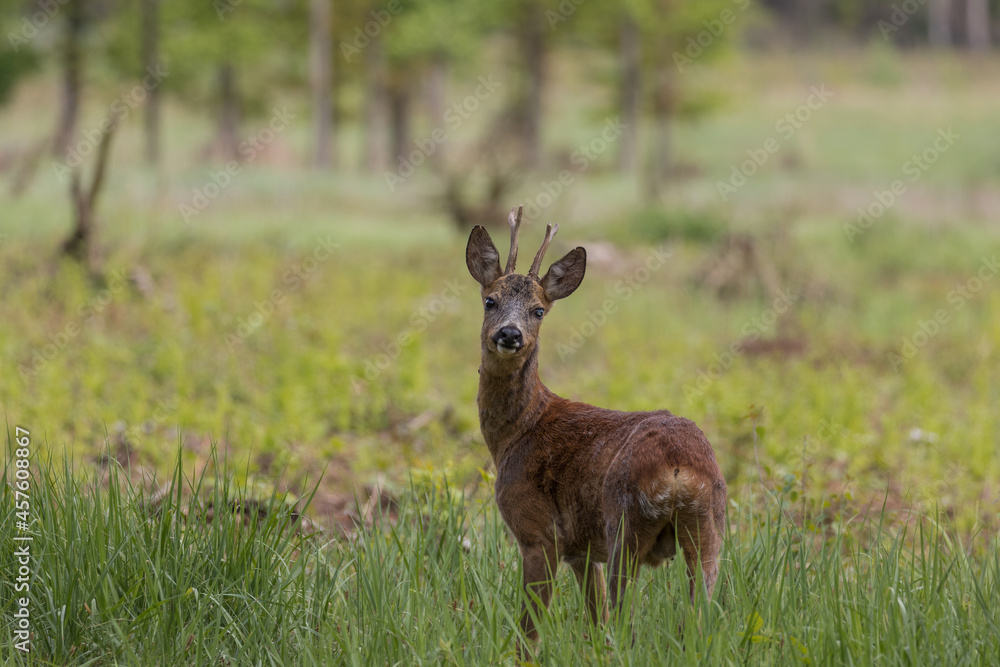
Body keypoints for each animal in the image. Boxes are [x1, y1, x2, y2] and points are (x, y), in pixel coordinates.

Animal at [466, 205, 727, 647]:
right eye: (490, 301)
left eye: (538, 310)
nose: (509, 334)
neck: (516, 433)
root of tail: (679, 469)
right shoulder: (583, 553)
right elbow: (595, 620)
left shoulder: (539, 533)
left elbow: (530, 633)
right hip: (710, 528)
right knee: (697, 615)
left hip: (625, 522)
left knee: (626, 625)